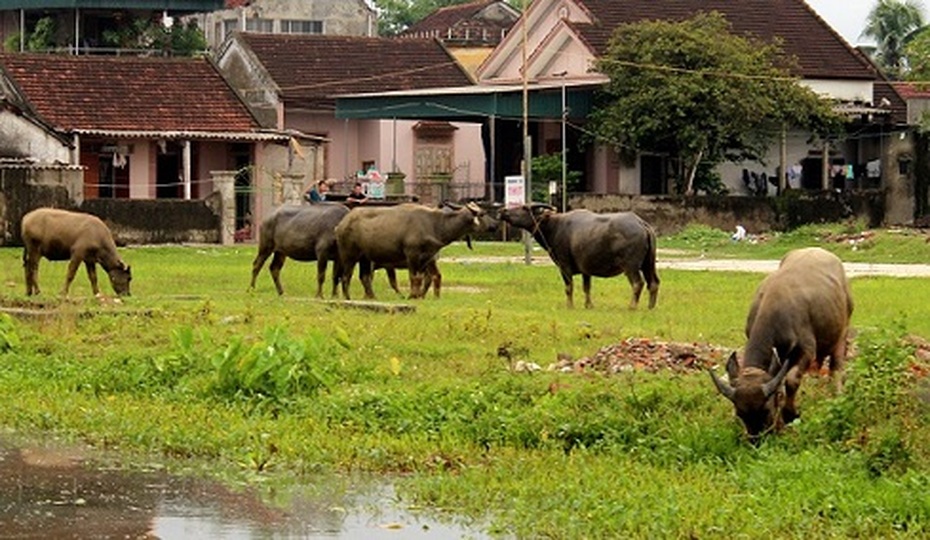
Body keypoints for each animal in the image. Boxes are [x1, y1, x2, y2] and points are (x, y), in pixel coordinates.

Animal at [334, 201, 482, 300]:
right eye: (474, 217)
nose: (481, 227)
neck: (435, 224)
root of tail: (341, 224)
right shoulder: (412, 255)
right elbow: (413, 277)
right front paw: (412, 295)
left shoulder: (426, 258)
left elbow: (421, 278)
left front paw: (417, 296)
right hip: (349, 256)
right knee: (346, 276)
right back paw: (348, 298)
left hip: (365, 258)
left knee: (364, 277)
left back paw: (372, 297)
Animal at [496, 205, 656, 310]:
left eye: (524, 207)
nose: (502, 210)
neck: (554, 226)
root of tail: (641, 223)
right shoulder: (586, 269)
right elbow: (587, 288)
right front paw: (588, 305)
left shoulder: (564, 265)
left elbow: (569, 287)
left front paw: (570, 305)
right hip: (648, 264)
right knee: (653, 282)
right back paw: (651, 306)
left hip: (631, 266)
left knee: (638, 283)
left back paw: (632, 306)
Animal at [712, 247, 856, 440]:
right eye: (740, 414)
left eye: (765, 410)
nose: (757, 440)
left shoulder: (806, 351)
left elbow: (791, 379)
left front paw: (790, 415)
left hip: (842, 332)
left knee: (836, 368)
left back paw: (837, 394)